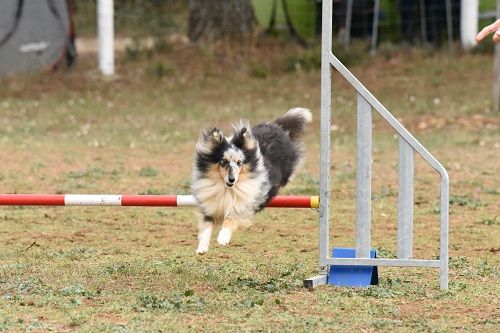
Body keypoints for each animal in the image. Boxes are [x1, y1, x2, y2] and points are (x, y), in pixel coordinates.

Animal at [192, 107, 312, 253]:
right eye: (223, 161)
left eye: (239, 162)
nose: (232, 179)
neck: (228, 189)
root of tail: (277, 126)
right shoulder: (210, 207)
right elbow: (207, 228)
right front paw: (202, 247)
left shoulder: (244, 206)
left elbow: (230, 218)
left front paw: (223, 237)